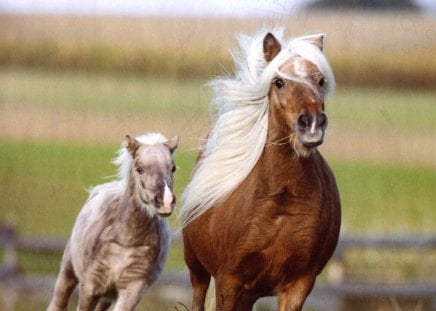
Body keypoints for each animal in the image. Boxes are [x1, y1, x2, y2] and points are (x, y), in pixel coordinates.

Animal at [180, 29, 340, 311]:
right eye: (279, 82)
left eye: (320, 81)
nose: (311, 124)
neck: (281, 200)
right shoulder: (228, 281)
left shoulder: (299, 284)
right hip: (197, 270)